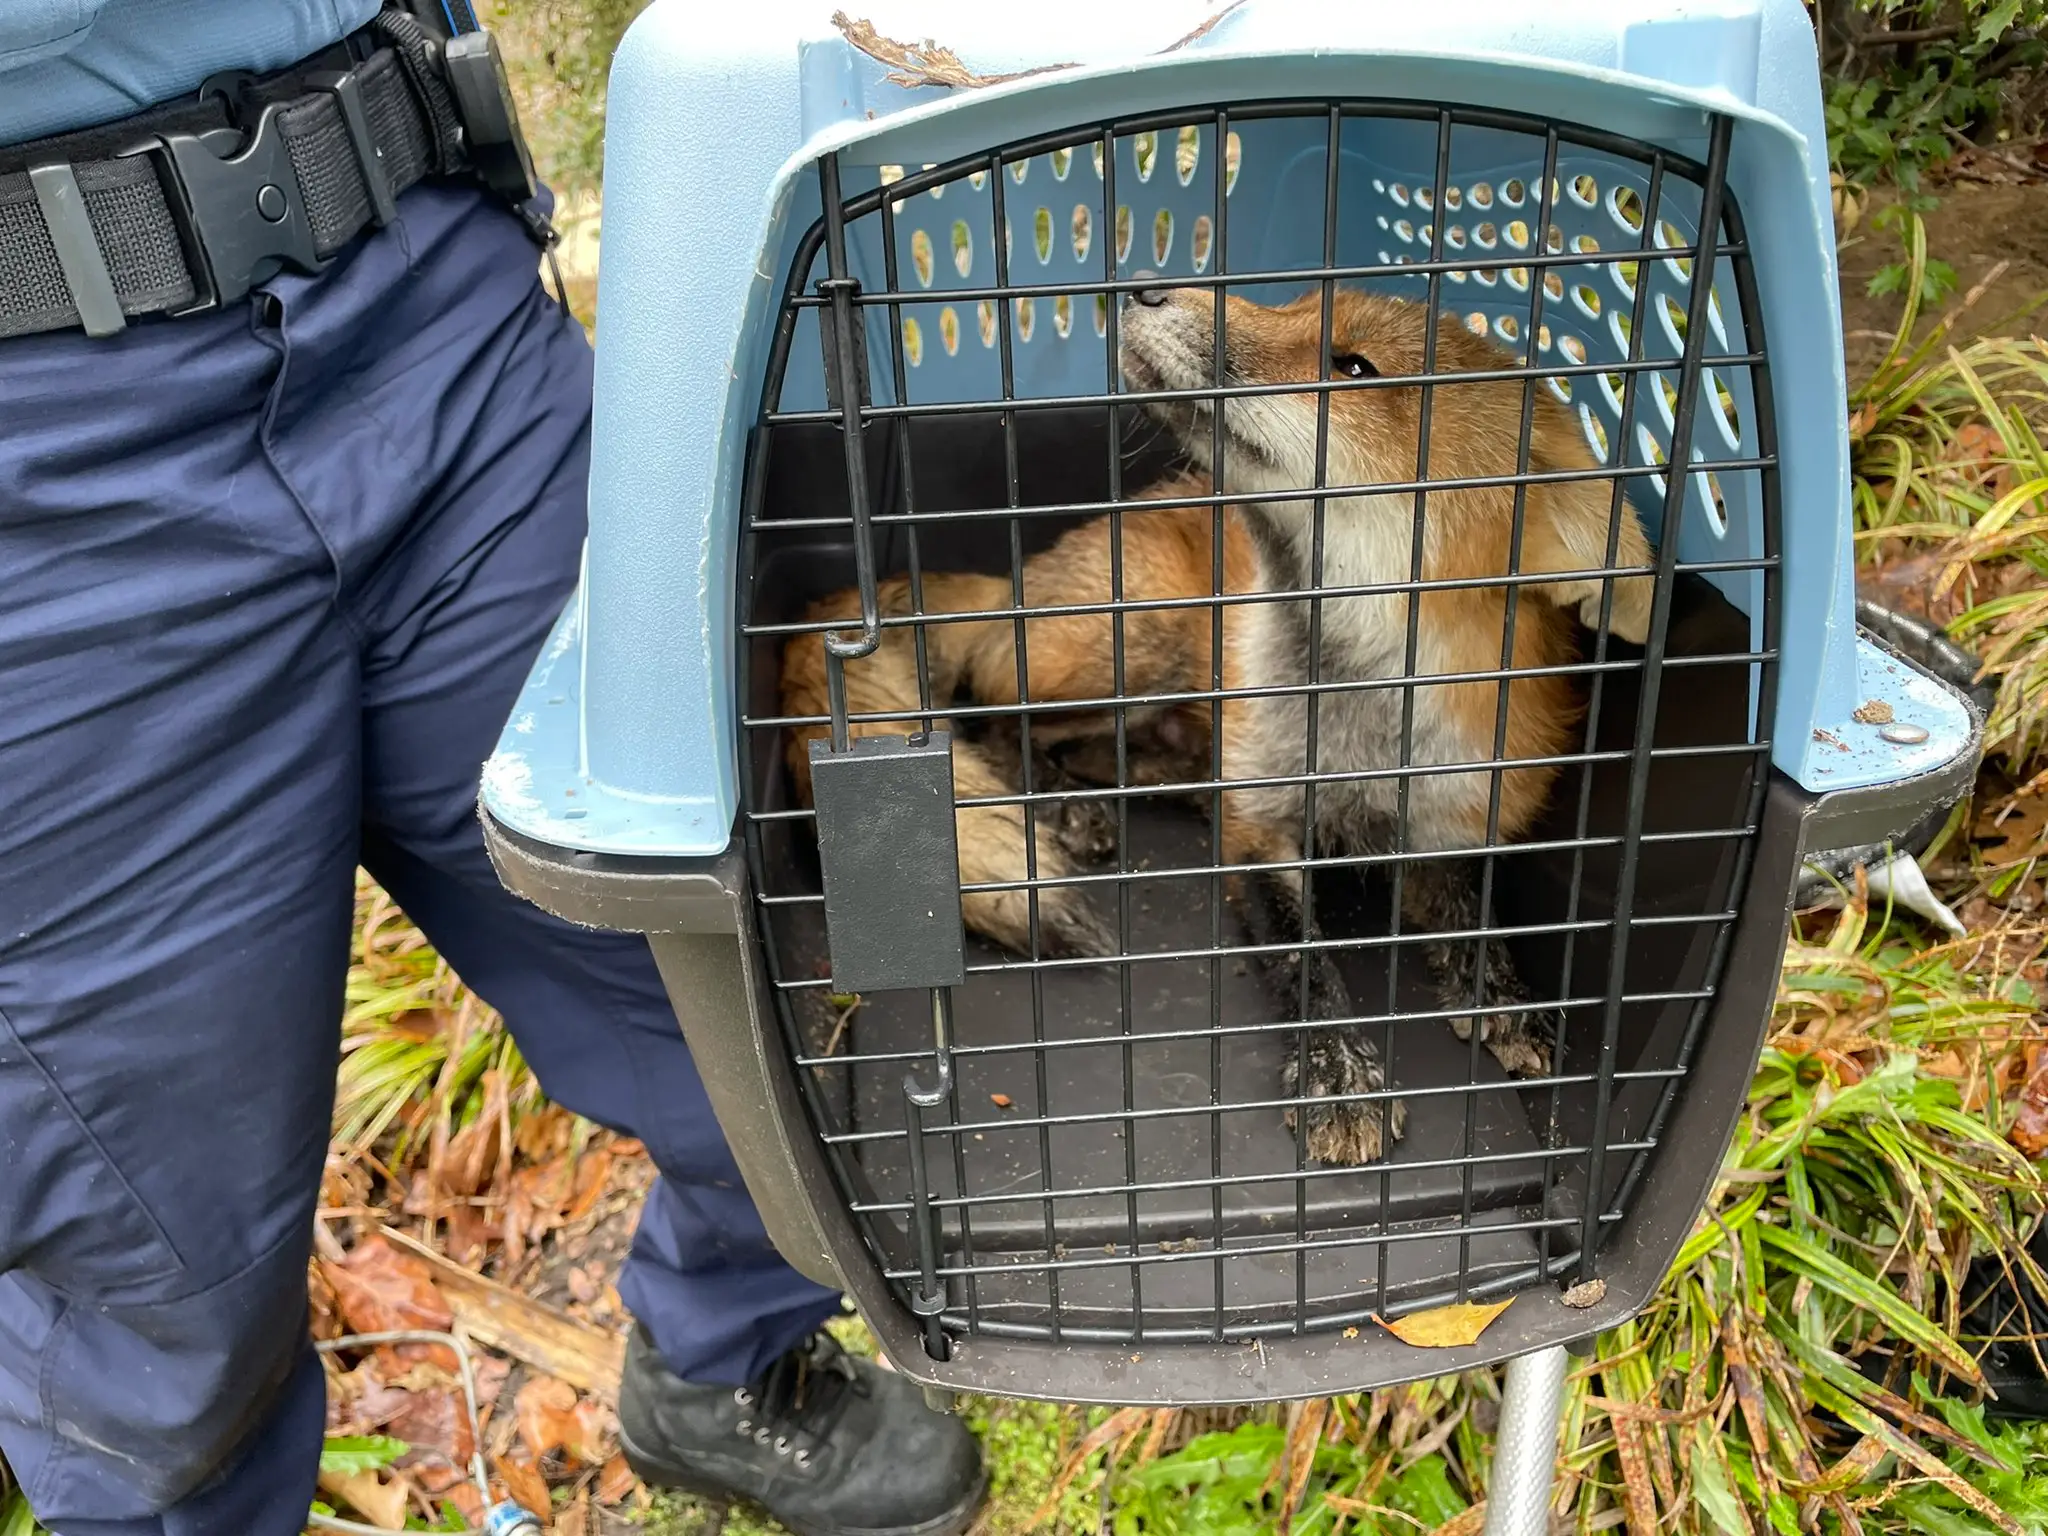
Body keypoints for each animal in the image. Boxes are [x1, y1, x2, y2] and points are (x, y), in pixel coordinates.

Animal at [782, 285, 1655, 1166]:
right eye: (1296, 300)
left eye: (1354, 368)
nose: (1146, 286)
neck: (1356, 730)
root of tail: (1019, 582)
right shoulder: (1260, 831)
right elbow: (1305, 957)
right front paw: (1338, 1070)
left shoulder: (1451, 817)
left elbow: (1477, 916)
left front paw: (1505, 995)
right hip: (1136, 644)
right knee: (992, 716)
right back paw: (1067, 805)